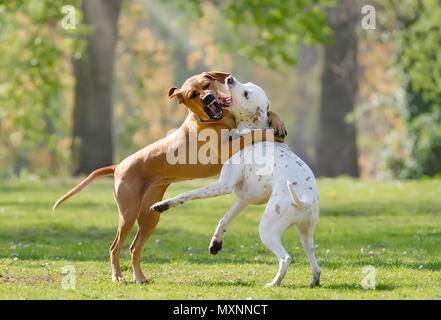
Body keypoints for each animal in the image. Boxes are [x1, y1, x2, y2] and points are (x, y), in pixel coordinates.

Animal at [52, 71, 286, 284]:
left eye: (207, 84)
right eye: (193, 95)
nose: (208, 98)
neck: (216, 120)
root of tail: (118, 166)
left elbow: (268, 114)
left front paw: (278, 123)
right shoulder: (225, 150)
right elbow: (253, 134)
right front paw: (270, 132)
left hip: (149, 217)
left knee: (134, 248)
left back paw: (139, 277)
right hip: (128, 213)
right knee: (114, 247)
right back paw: (118, 276)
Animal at [151, 75, 320, 288]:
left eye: (246, 93)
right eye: (247, 85)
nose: (230, 78)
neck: (252, 131)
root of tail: (306, 198)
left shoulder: (223, 185)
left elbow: (186, 194)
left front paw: (162, 204)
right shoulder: (243, 199)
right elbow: (224, 219)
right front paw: (216, 242)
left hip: (267, 230)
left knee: (286, 258)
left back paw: (273, 284)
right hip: (305, 234)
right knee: (314, 262)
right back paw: (314, 280)